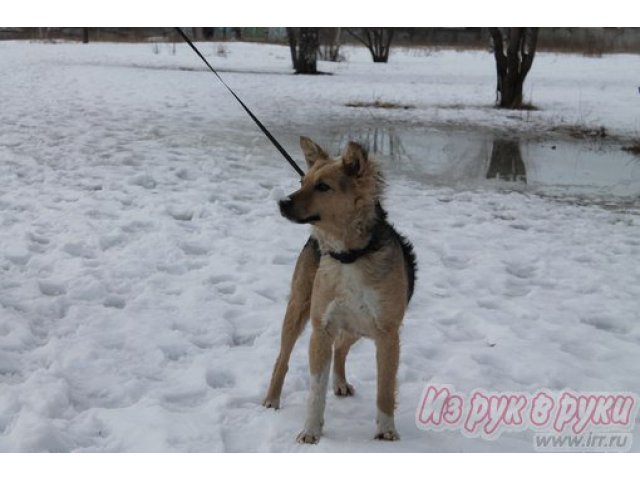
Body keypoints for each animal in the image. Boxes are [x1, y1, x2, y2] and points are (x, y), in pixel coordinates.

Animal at [262, 135, 418, 442]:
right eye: (302, 181)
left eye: (323, 186)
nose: (282, 203)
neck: (350, 256)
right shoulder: (321, 328)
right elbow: (315, 391)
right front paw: (310, 431)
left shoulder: (388, 334)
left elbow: (385, 389)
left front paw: (386, 431)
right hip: (299, 308)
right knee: (282, 358)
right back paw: (272, 399)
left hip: (360, 326)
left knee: (342, 347)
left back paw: (341, 383)